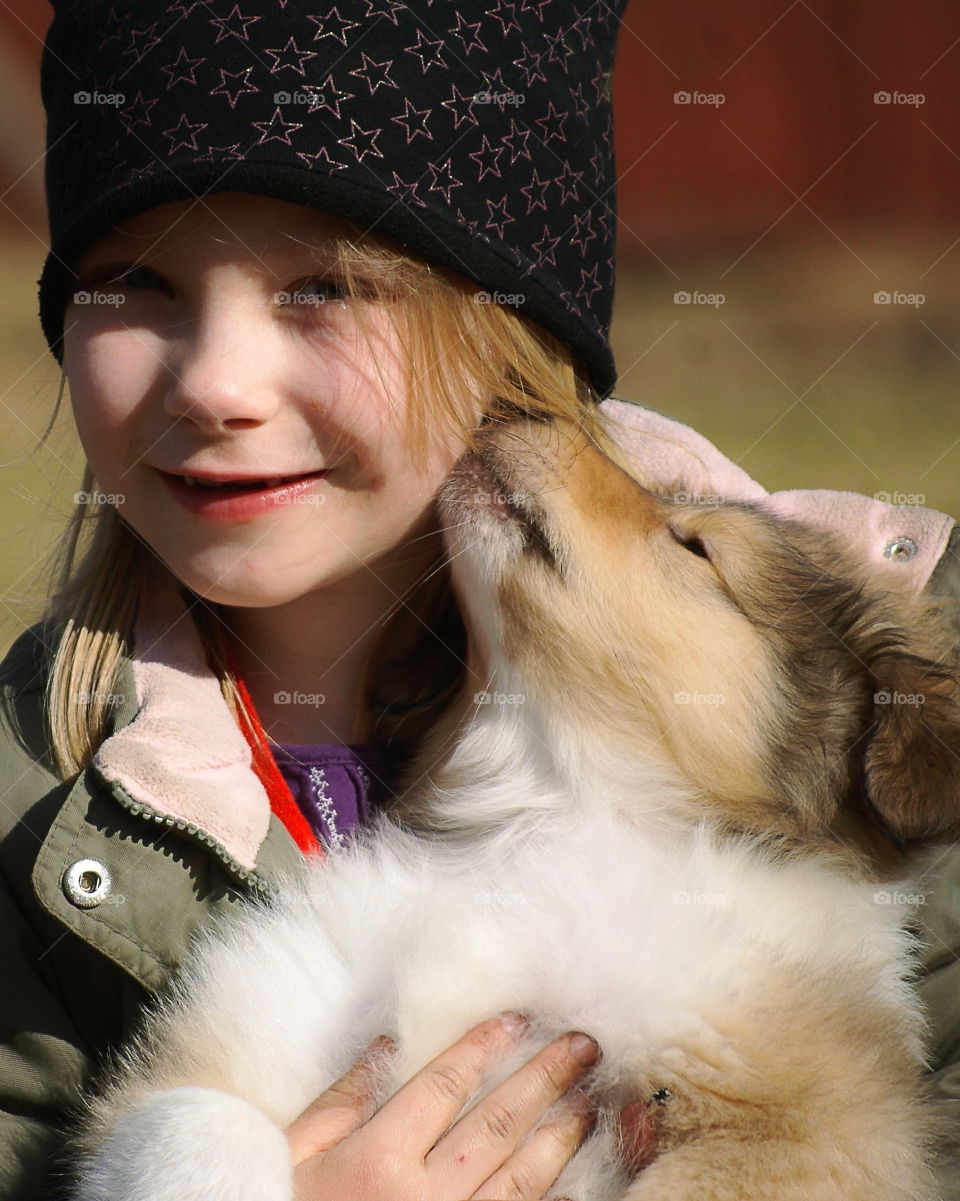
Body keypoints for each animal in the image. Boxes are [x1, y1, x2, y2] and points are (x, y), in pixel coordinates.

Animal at [73, 420, 960, 1201]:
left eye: (696, 546)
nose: (508, 407)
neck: (548, 821)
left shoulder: (812, 1131)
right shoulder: (250, 1032)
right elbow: (194, 1120)